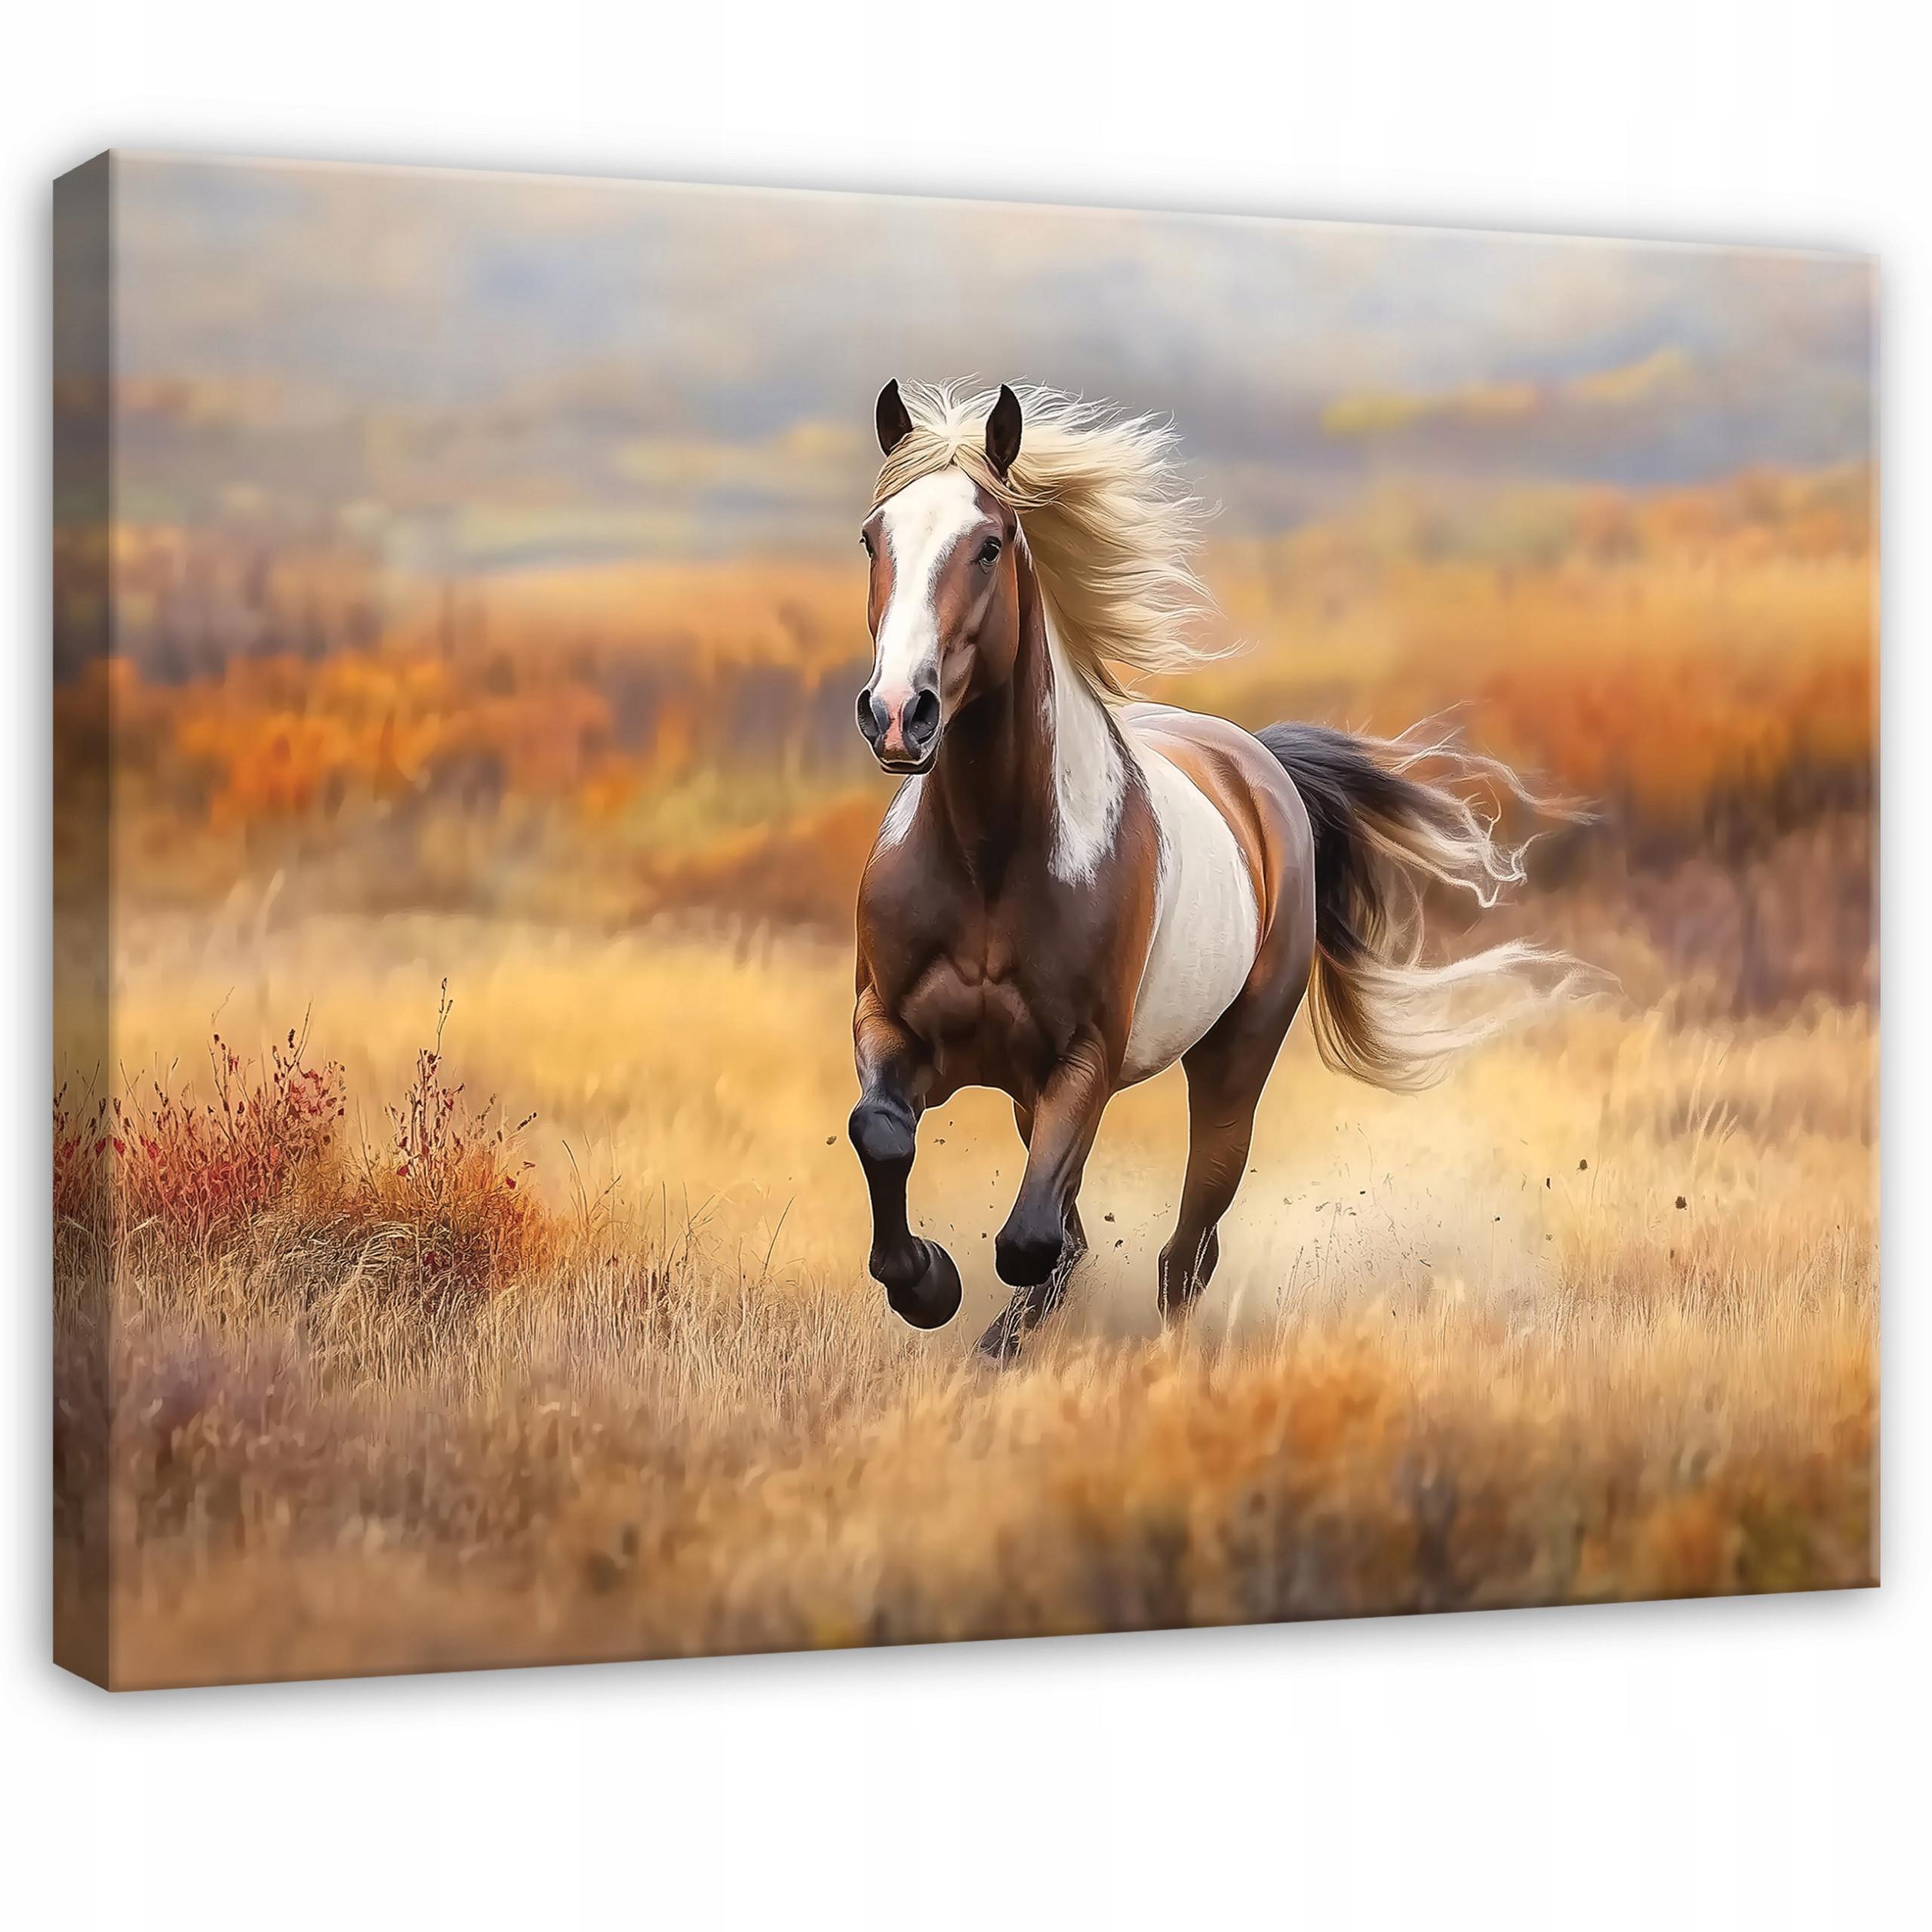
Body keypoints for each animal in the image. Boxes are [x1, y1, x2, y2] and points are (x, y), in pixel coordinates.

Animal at [848, 379, 1572, 1358]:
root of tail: (1258, 763)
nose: (898, 713)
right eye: (872, 537)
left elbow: (1033, 1237)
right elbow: (885, 1136)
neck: (989, 863)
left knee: (1184, 1249)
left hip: (1232, 1066)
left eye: (989, 544)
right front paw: (926, 1285)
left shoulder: (1084, 1061)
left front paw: (950, 1292)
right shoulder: (888, 1022)